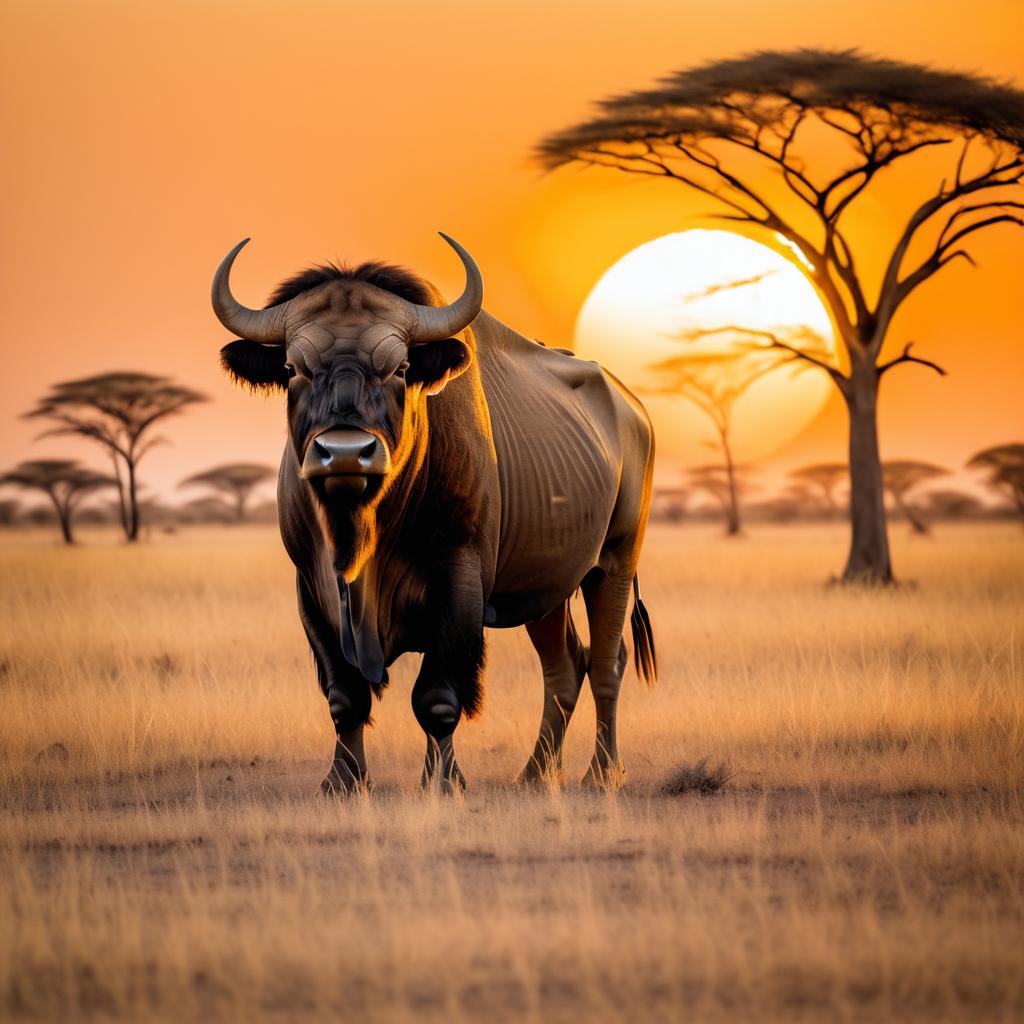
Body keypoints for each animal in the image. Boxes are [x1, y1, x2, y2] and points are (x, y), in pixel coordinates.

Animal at [211, 234, 655, 790]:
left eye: (400, 368)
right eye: (294, 369)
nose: (345, 453)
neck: (365, 537)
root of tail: (633, 410)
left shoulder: (459, 581)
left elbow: (437, 699)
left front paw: (444, 783)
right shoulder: (311, 590)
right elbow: (344, 697)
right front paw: (343, 782)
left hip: (613, 564)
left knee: (606, 664)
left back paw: (600, 774)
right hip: (547, 591)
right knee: (565, 667)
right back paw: (534, 774)